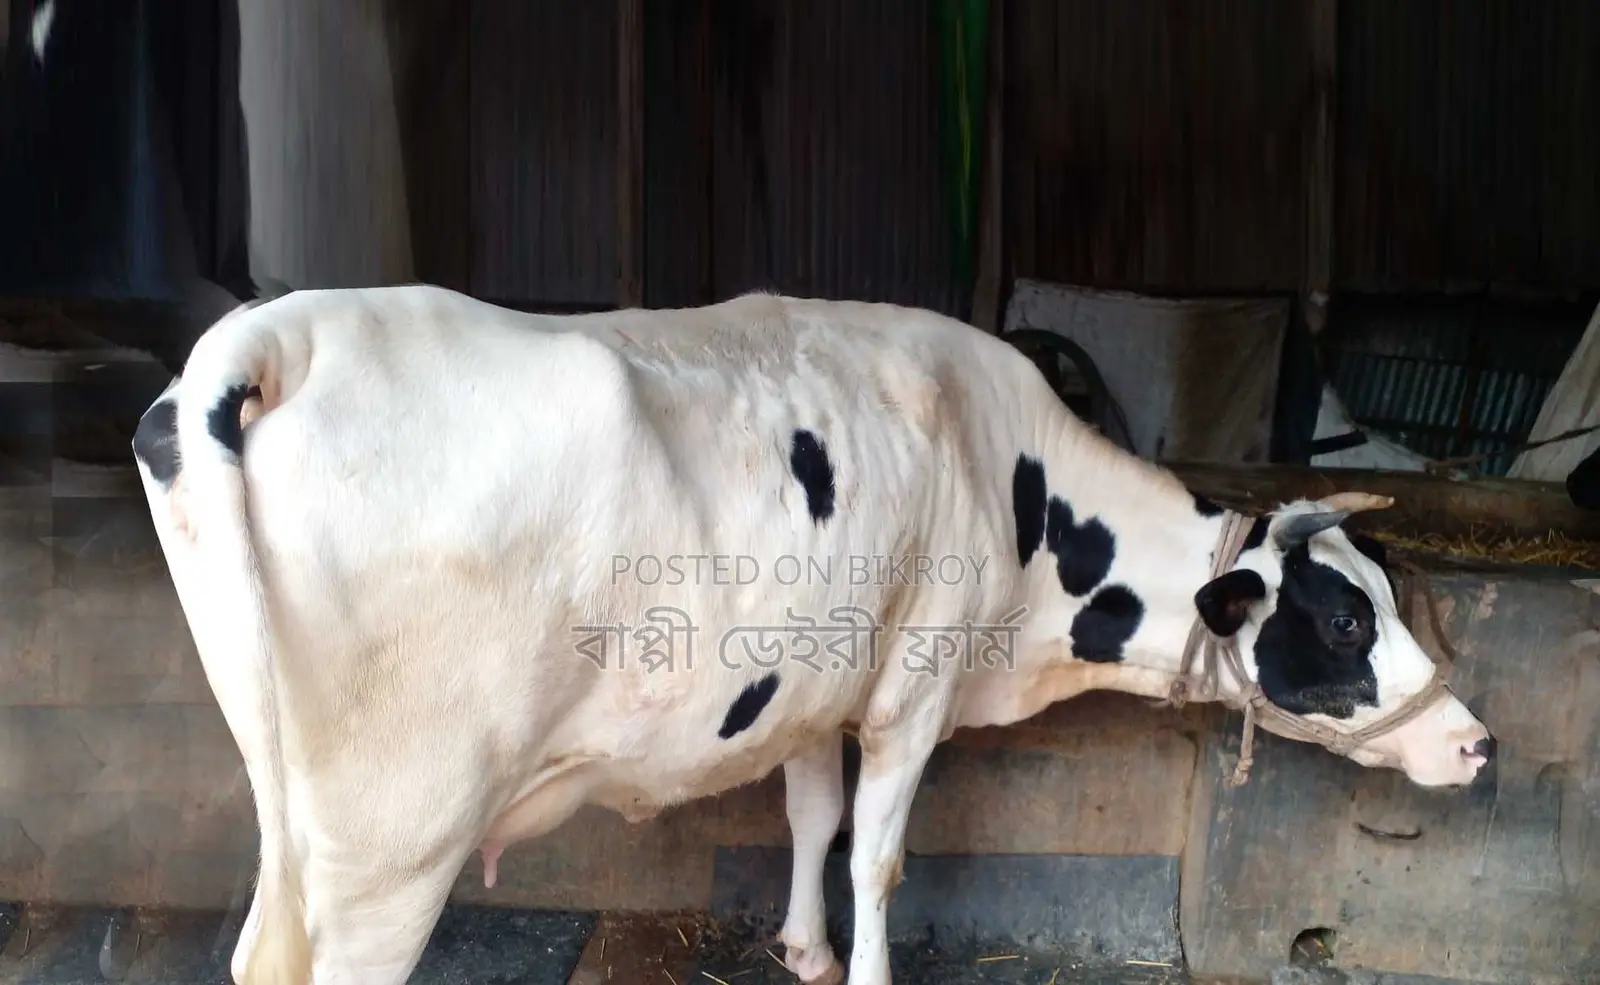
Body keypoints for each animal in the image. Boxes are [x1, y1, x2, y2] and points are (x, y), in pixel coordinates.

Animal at [131, 285, 1495, 985]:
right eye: (1341, 617)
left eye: (1389, 586)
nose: (1478, 744)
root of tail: (282, 334)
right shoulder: (916, 687)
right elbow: (876, 855)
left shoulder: (812, 679)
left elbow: (810, 816)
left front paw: (802, 949)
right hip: (395, 837)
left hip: (298, 801)